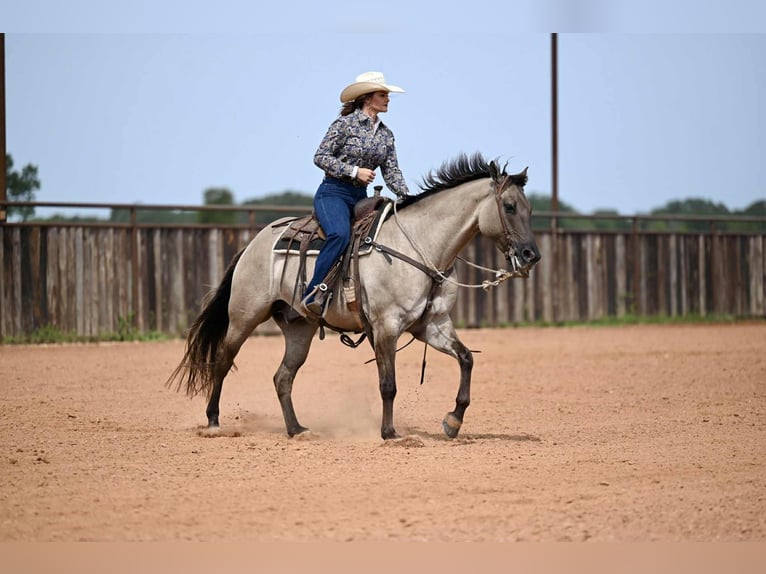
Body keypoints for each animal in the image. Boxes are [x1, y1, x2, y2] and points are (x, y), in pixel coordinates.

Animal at [167, 152, 540, 440]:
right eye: (509, 207)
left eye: (530, 210)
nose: (531, 255)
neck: (420, 246)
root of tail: (253, 244)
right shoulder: (386, 327)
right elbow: (388, 384)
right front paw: (390, 434)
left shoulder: (431, 326)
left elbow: (466, 359)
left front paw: (453, 421)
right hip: (245, 315)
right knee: (223, 360)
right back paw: (214, 423)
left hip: (298, 328)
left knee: (283, 377)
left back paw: (298, 430)